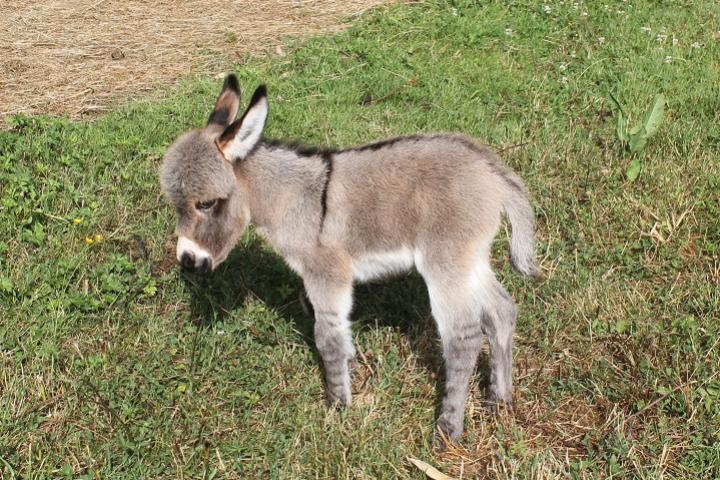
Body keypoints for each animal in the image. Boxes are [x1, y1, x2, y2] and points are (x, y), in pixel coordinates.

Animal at [160, 75, 536, 442]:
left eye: (206, 203)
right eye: (177, 206)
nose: (188, 262)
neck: (295, 199)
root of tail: (493, 172)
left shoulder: (326, 273)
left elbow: (327, 339)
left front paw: (338, 404)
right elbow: (339, 333)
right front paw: (351, 374)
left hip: (445, 263)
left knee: (463, 337)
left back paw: (448, 428)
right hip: (471, 259)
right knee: (502, 311)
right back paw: (499, 401)